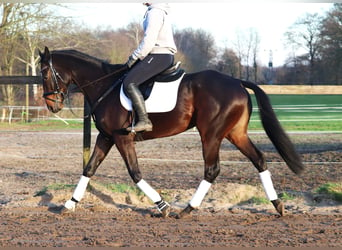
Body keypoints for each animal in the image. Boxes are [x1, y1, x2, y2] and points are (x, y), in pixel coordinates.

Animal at [38, 46, 304, 217]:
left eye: (44, 72)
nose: (52, 105)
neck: (105, 85)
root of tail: (237, 82)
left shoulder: (123, 138)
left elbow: (135, 173)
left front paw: (163, 206)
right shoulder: (106, 137)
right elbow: (89, 169)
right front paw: (69, 205)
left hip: (211, 135)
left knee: (212, 169)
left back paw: (187, 210)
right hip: (235, 134)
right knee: (259, 159)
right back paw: (278, 205)